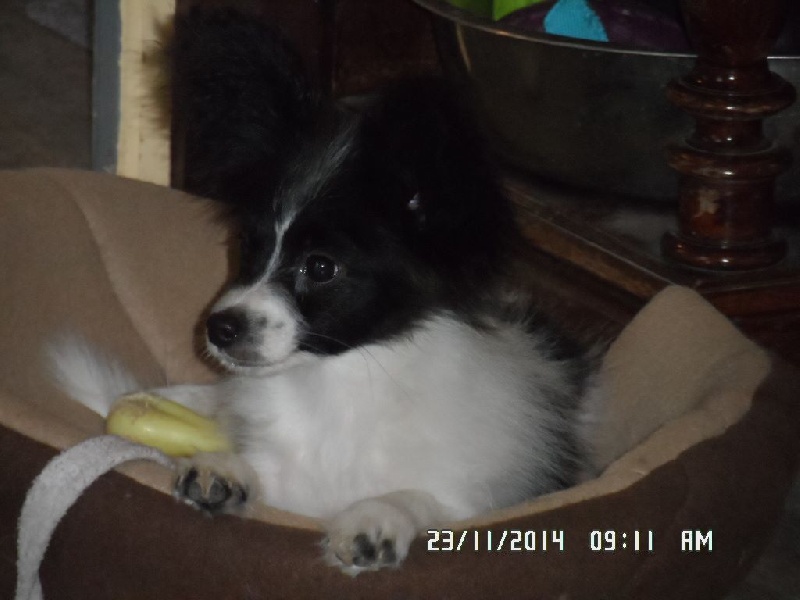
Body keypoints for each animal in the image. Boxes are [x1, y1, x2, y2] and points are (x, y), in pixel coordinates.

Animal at [49, 8, 602, 574]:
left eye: (320, 267)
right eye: (248, 245)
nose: (219, 328)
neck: (333, 388)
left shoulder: (474, 503)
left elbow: (424, 499)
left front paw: (379, 517)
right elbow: (259, 463)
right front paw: (224, 467)